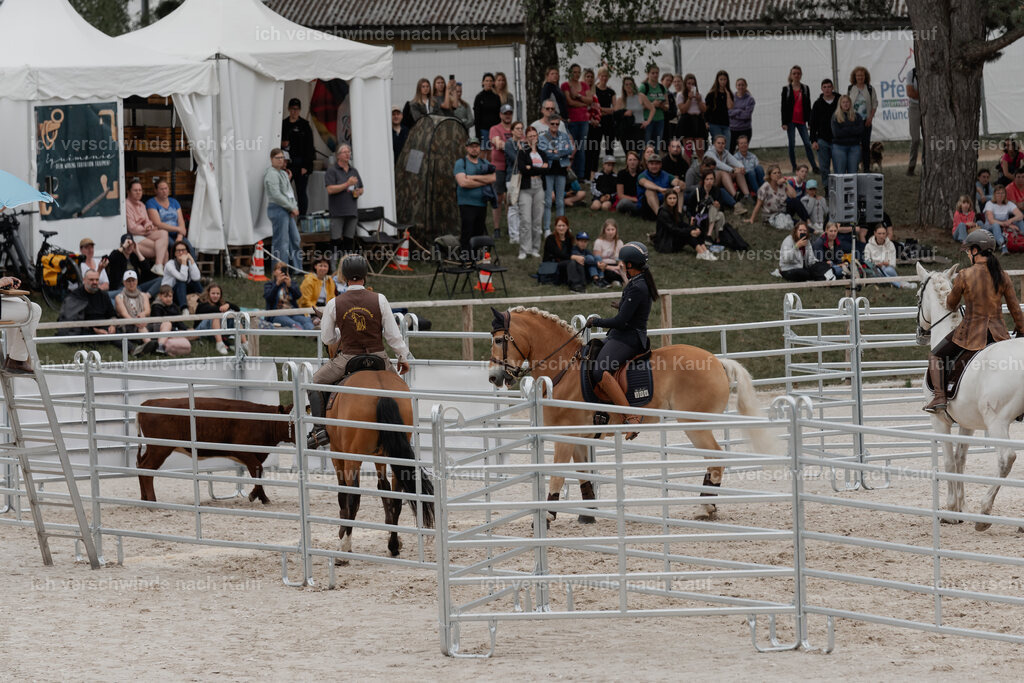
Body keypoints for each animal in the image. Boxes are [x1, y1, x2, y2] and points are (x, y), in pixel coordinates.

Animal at [325, 369, 434, 560]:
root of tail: (382, 392)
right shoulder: (380, 456)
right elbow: (384, 488)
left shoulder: (337, 452)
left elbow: (343, 494)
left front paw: (342, 532)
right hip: (395, 457)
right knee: (396, 497)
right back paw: (393, 546)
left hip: (352, 457)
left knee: (353, 497)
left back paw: (344, 549)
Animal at [488, 306, 776, 522]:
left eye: (499, 340)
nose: (494, 377)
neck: (564, 369)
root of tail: (718, 362)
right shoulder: (579, 436)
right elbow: (584, 474)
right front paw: (588, 514)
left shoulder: (565, 435)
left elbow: (558, 474)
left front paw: (548, 514)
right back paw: (708, 505)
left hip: (695, 424)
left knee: (715, 458)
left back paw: (706, 506)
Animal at [916, 262, 1024, 531]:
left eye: (917, 297)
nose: (920, 334)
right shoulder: (968, 423)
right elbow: (960, 458)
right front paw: (962, 506)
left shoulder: (939, 420)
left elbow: (948, 461)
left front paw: (951, 509)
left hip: (997, 421)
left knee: (1006, 459)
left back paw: (984, 513)